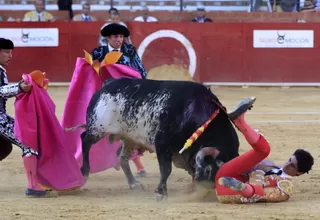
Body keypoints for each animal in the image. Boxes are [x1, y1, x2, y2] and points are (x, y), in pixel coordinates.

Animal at [71, 78, 239, 200]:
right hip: (98, 128)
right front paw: (160, 192)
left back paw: (134, 183)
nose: (207, 189)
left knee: (121, 157)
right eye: (210, 169)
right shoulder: (162, 144)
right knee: (85, 140)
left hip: (130, 138)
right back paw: (84, 172)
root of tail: (108, 83)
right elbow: (166, 169)